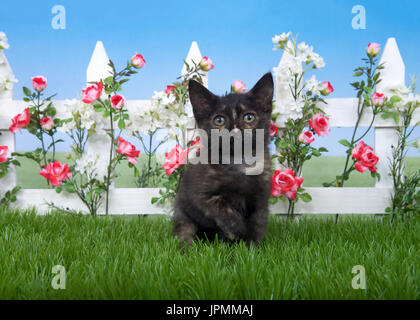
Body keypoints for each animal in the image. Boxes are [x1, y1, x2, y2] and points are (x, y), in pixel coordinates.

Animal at [173, 72, 274, 248]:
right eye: (219, 120)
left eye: (249, 117)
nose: (234, 132)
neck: (239, 161)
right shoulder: (199, 193)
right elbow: (220, 205)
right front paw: (237, 227)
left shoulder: (261, 198)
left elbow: (257, 224)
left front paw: (253, 250)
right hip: (182, 213)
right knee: (184, 232)